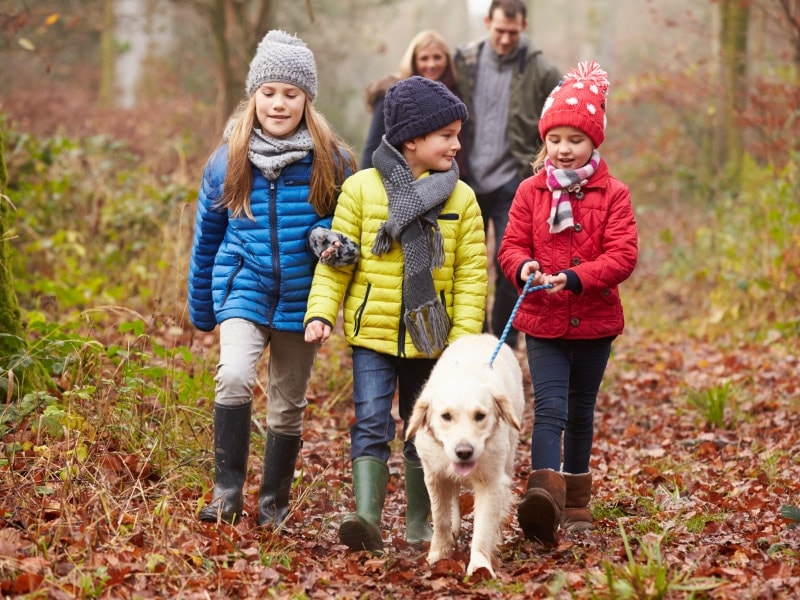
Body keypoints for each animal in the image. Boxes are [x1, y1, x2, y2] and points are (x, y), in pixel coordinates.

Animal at [406, 332, 524, 576]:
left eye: (480, 416)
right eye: (446, 416)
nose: (464, 452)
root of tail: (480, 335)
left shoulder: (492, 481)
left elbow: (484, 526)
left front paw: (480, 567)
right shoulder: (434, 475)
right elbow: (440, 517)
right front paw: (438, 555)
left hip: (508, 459)